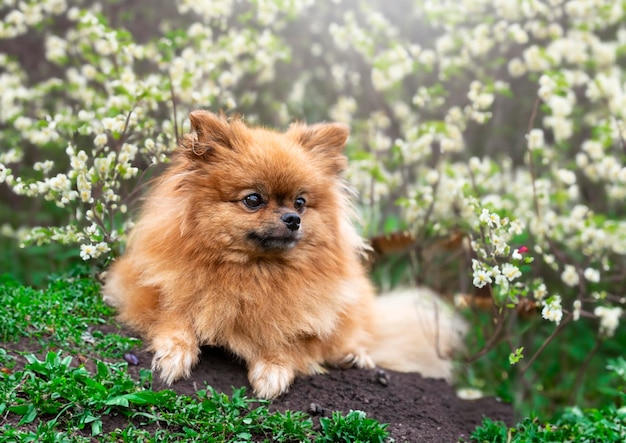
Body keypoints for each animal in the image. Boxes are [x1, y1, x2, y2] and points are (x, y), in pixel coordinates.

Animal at [102, 110, 464, 398]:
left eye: (300, 202)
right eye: (253, 200)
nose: (293, 219)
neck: (253, 272)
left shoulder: (303, 315)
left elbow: (287, 337)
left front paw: (273, 369)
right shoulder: (147, 288)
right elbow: (173, 315)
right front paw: (175, 353)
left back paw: (353, 356)